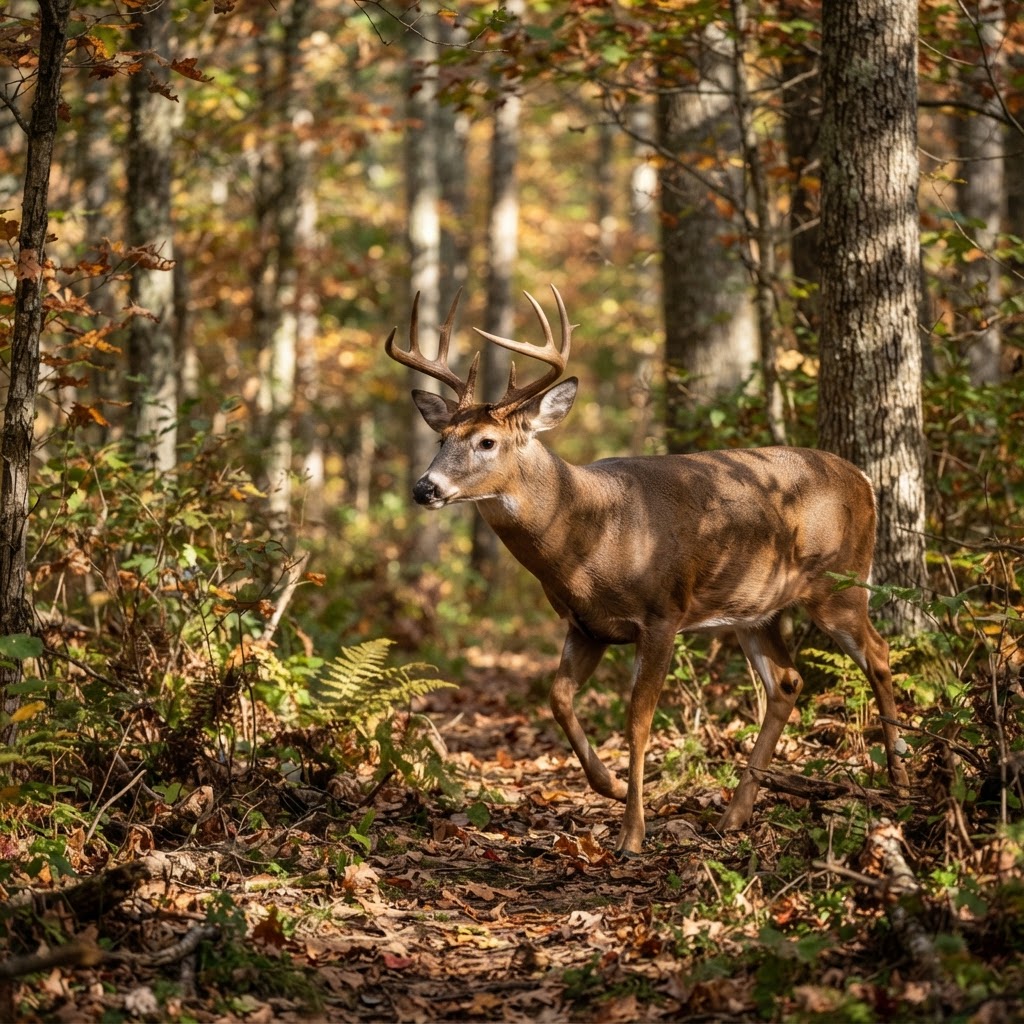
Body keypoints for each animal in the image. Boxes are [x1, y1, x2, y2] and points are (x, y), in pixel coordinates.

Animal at [385, 285, 911, 856]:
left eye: (487, 441)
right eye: (442, 438)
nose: (425, 488)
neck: (590, 537)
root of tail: (864, 479)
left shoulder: (663, 612)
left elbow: (638, 720)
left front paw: (632, 832)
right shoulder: (585, 624)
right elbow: (559, 699)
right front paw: (611, 786)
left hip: (840, 582)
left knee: (879, 654)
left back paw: (900, 781)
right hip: (755, 609)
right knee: (787, 682)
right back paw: (734, 815)